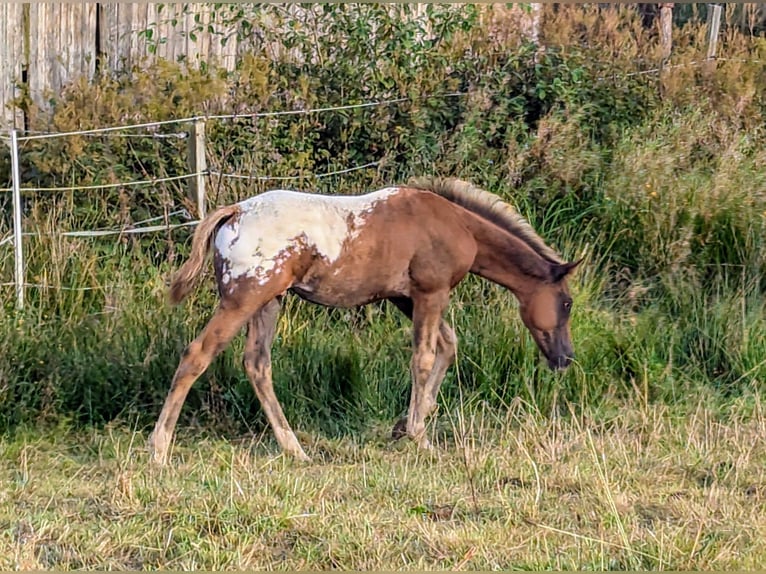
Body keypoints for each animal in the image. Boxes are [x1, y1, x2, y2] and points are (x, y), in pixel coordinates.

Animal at [148, 178, 584, 466]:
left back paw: (295, 449)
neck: (455, 224)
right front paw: (419, 436)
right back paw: (159, 449)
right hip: (243, 300)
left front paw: (406, 426)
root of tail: (235, 211)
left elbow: (447, 346)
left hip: (268, 302)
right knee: (197, 355)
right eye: (566, 303)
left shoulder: (404, 297)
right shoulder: (431, 292)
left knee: (257, 364)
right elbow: (424, 358)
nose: (565, 358)